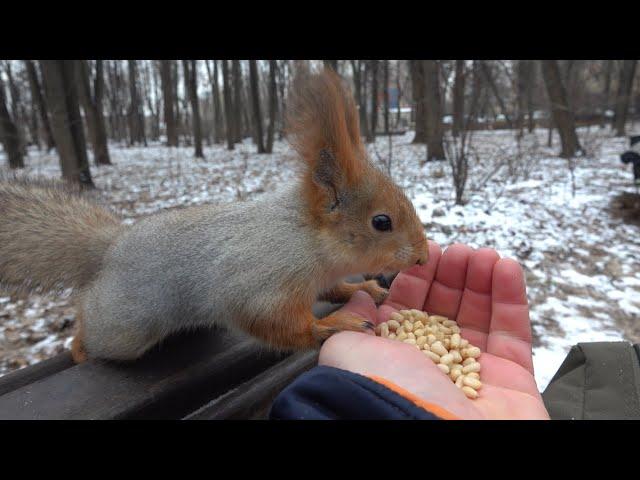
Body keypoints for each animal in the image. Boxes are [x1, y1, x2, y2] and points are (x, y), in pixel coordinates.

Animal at [2, 68, 430, 364]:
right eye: (381, 222)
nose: (424, 257)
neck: (308, 237)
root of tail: (110, 248)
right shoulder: (260, 280)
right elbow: (273, 322)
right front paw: (334, 324)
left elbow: (333, 290)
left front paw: (365, 289)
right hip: (123, 327)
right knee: (89, 323)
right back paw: (78, 347)